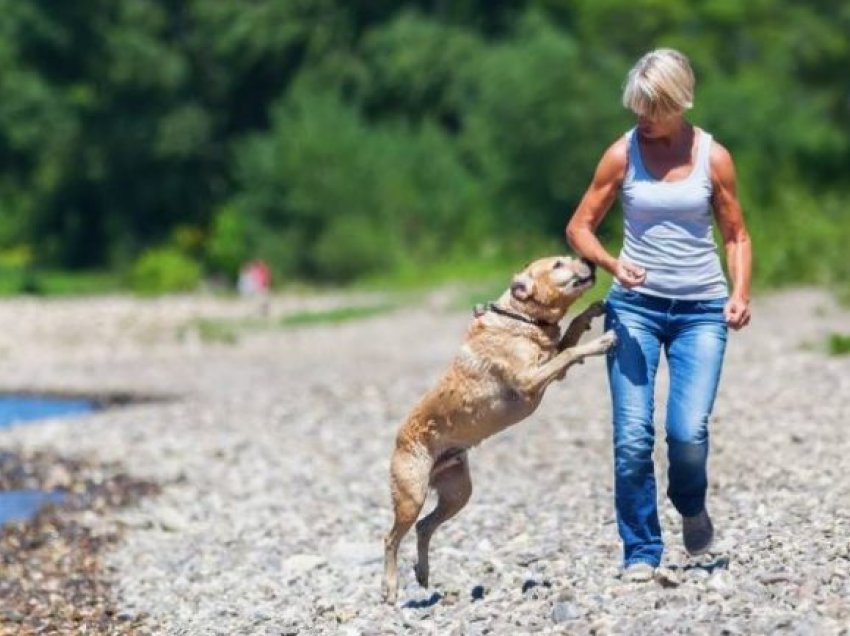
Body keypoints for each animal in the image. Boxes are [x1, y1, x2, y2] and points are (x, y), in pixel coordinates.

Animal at [380, 252, 612, 600]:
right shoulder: (530, 380)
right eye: (558, 264)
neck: (522, 319)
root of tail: (397, 440)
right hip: (411, 495)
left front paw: (590, 313)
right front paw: (603, 341)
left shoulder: (550, 367)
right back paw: (391, 587)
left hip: (458, 491)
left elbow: (568, 337)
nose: (589, 258)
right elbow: (570, 349)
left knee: (425, 526)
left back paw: (422, 573)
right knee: (392, 538)